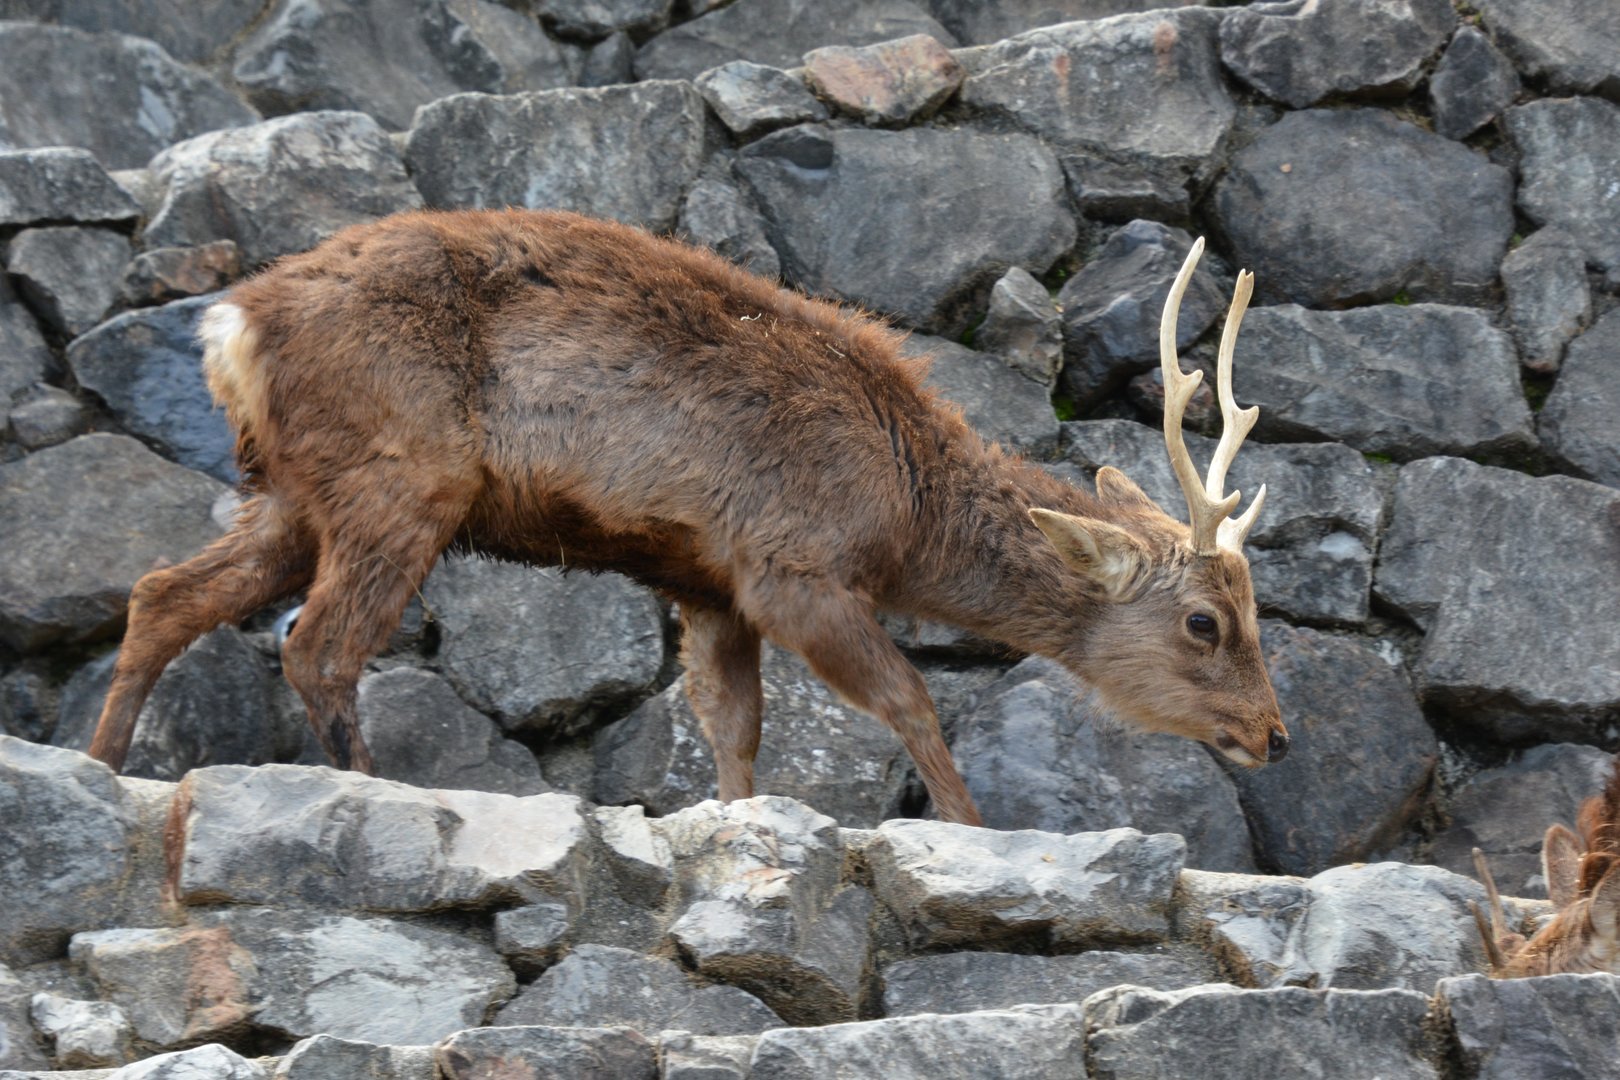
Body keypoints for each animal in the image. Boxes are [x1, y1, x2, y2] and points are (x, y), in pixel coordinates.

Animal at [86, 209, 1287, 827]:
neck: (904, 513)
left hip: (297, 489)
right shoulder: (789, 562)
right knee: (318, 645)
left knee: (163, 593)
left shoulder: (705, 582)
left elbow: (732, 728)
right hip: (401, 474)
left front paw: (735, 825)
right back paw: (375, 793)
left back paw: (104, 765)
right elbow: (909, 699)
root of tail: (232, 327)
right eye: (1205, 623)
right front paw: (969, 832)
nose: (1275, 734)